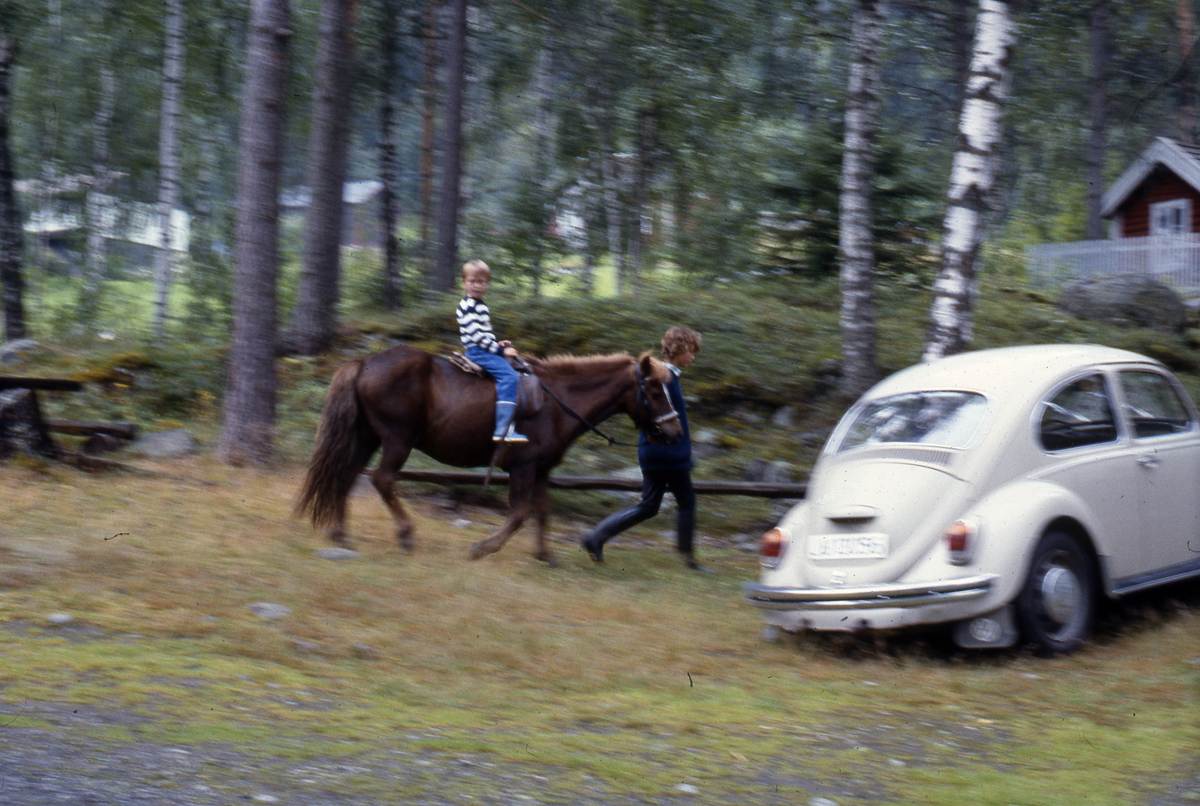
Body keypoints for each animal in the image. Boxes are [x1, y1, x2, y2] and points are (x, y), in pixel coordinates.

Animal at [294, 343, 681, 563]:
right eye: (654, 392)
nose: (675, 431)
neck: (559, 401)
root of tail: (363, 363)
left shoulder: (542, 470)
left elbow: (541, 513)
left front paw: (546, 555)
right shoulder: (523, 467)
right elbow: (519, 514)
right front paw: (482, 548)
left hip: (367, 437)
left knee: (346, 476)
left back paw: (341, 534)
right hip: (397, 440)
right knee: (383, 479)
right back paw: (405, 533)